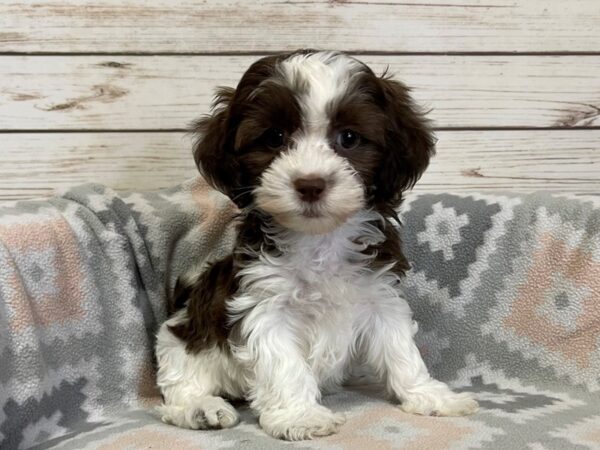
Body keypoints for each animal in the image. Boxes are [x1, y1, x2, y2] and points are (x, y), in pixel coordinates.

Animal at [156, 51, 478, 442]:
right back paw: (201, 409)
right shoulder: (264, 304)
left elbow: (400, 348)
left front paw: (430, 395)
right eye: (275, 137)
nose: (310, 184)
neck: (319, 237)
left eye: (349, 138)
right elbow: (284, 363)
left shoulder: (379, 293)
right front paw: (300, 417)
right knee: (178, 391)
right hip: (182, 344)